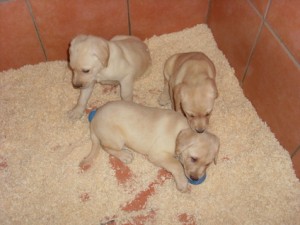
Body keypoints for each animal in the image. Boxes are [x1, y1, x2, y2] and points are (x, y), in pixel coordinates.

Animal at [81, 101, 219, 192]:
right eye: (193, 159)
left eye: (208, 164)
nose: (195, 179)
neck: (180, 130)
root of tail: (94, 121)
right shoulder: (156, 154)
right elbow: (176, 165)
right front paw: (182, 183)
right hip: (116, 138)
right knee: (105, 146)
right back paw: (124, 155)